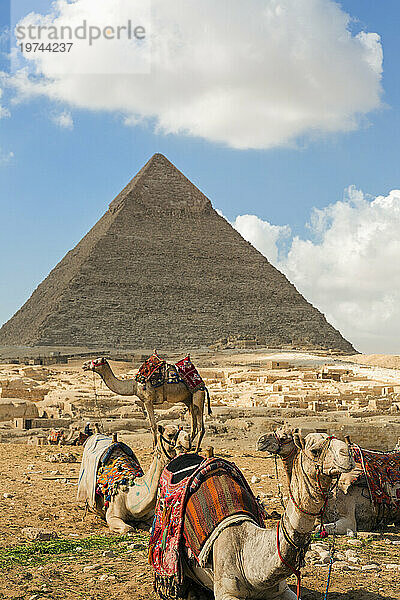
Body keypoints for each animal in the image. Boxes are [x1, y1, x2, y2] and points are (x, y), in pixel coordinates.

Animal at [83, 356, 211, 450]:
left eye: (95, 361)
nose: (84, 365)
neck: (134, 385)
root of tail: (202, 383)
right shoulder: (146, 401)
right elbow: (151, 424)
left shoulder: (147, 400)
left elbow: (153, 425)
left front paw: (154, 447)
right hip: (189, 400)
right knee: (194, 424)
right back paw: (186, 447)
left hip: (198, 395)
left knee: (200, 425)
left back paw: (195, 449)